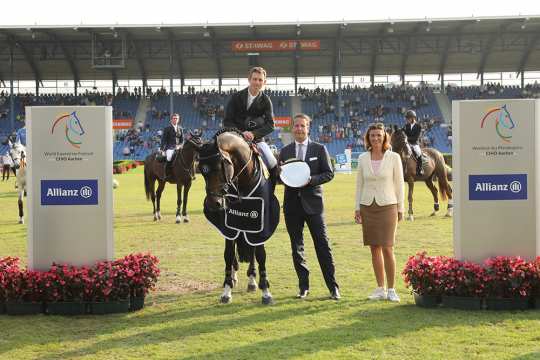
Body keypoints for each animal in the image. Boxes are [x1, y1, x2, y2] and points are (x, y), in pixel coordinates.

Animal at [196, 129, 274, 304]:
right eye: (201, 171)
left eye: (219, 167)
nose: (213, 204)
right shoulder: (230, 224)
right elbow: (229, 254)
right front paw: (227, 289)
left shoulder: (259, 223)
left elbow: (260, 254)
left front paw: (265, 291)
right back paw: (234, 276)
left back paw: (252, 280)